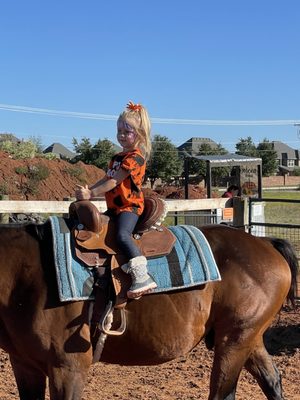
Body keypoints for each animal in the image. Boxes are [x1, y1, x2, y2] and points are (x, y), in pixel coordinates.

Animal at [0, 220, 298, 398]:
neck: (28, 276)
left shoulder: (67, 369)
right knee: (272, 380)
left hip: (234, 341)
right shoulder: (25, 366)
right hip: (247, 339)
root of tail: (266, 243)